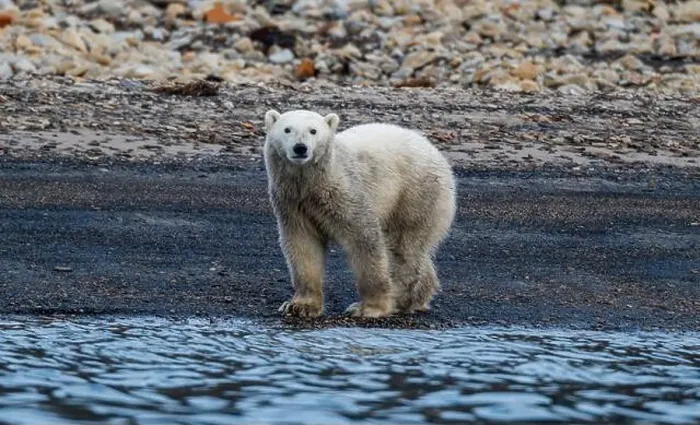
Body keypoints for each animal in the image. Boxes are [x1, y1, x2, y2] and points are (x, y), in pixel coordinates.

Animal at [262, 109, 456, 318]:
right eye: (287, 129)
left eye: (313, 131)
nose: (300, 148)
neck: (312, 183)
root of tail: (436, 152)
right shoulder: (293, 204)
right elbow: (303, 245)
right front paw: (300, 306)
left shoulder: (345, 193)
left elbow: (364, 239)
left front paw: (369, 308)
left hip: (415, 194)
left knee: (402, 247)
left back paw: (398, 299)